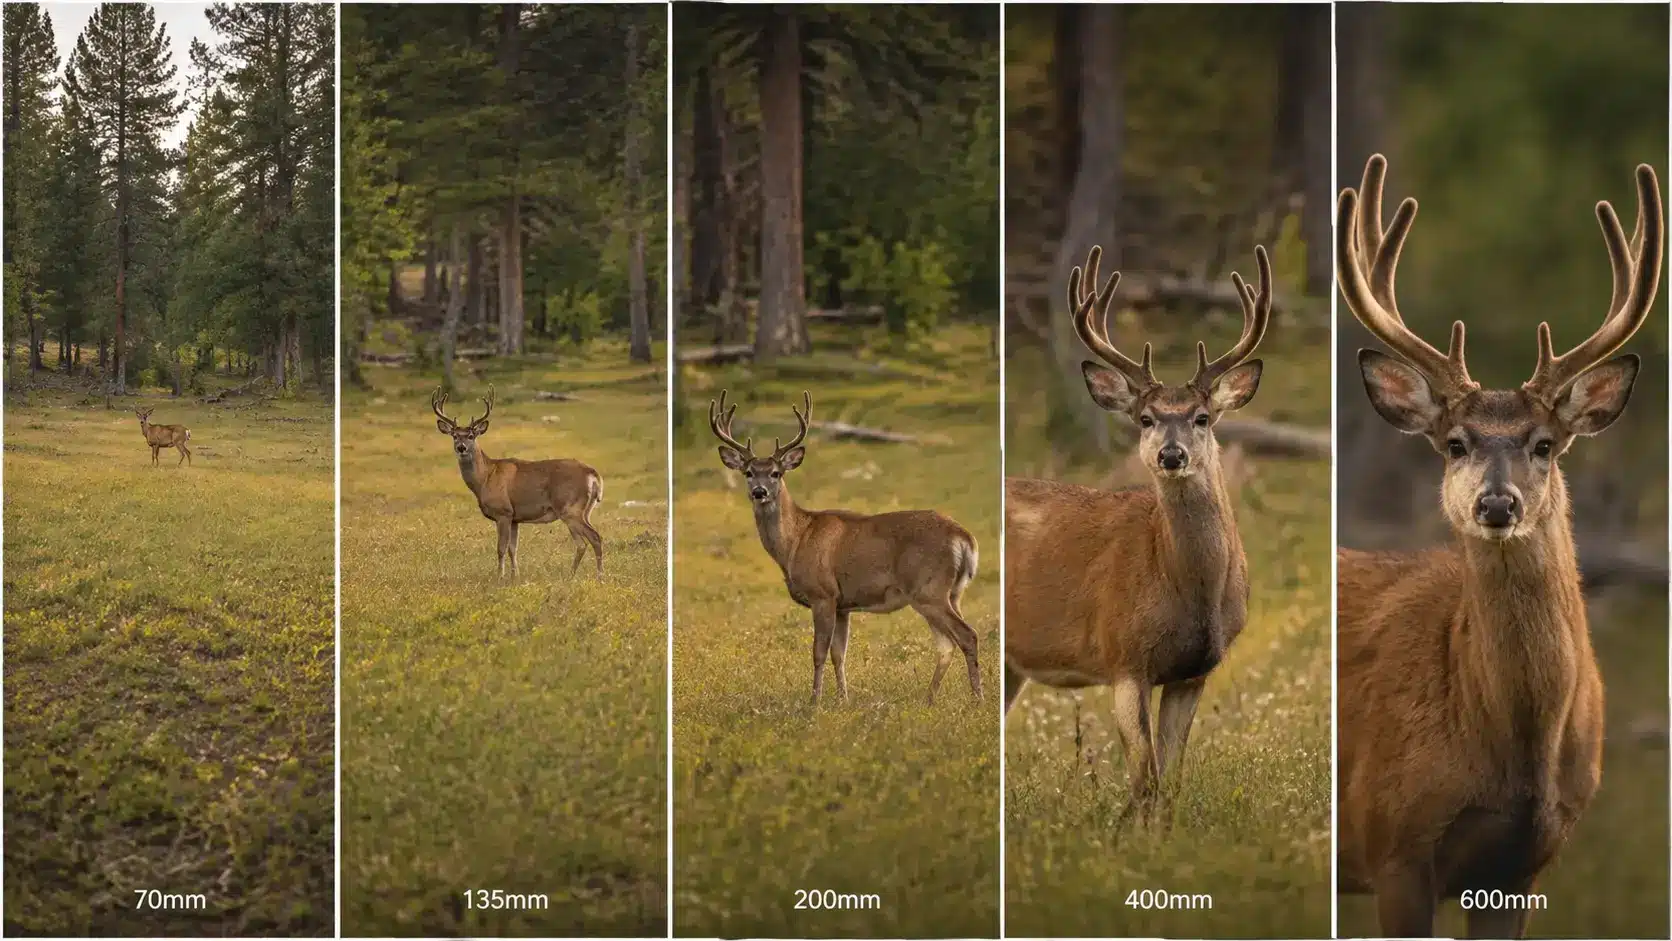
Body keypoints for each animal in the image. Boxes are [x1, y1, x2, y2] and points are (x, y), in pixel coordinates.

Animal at [431, 386, 604, 578]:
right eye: (454, 436)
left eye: (471, 435)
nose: (461, 447)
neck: (485, 478)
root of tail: (593, 474)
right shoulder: (515, 517)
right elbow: (512, 549)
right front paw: (515, 575)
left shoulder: (503, 512)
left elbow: (500, 548)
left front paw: (500, 576)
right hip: (585, 510)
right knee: (586, 541)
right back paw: (575, 574)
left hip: (569, 508)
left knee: (592, 539)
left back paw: (595, 576)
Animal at [709, 390, 982, 706]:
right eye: (749, 472)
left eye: (776, 473)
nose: (759, 492)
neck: (796, 541)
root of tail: (965, 537)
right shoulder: (843, 604)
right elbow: (839, 654)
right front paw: (843, 699)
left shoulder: (823, 594)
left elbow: (818, 653)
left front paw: (814, 701)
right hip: (952, 592)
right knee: (947, 644)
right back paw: (929, 699)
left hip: (929, 589)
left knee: (966, 635)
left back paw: (977, 699)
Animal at [1004, 242, 1271, 826]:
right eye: (1145, 418)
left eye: (1201, 417)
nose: (1171, 455)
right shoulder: (1122, 657)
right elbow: (1144, 779)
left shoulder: (1194, 672)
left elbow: (1170, 780)